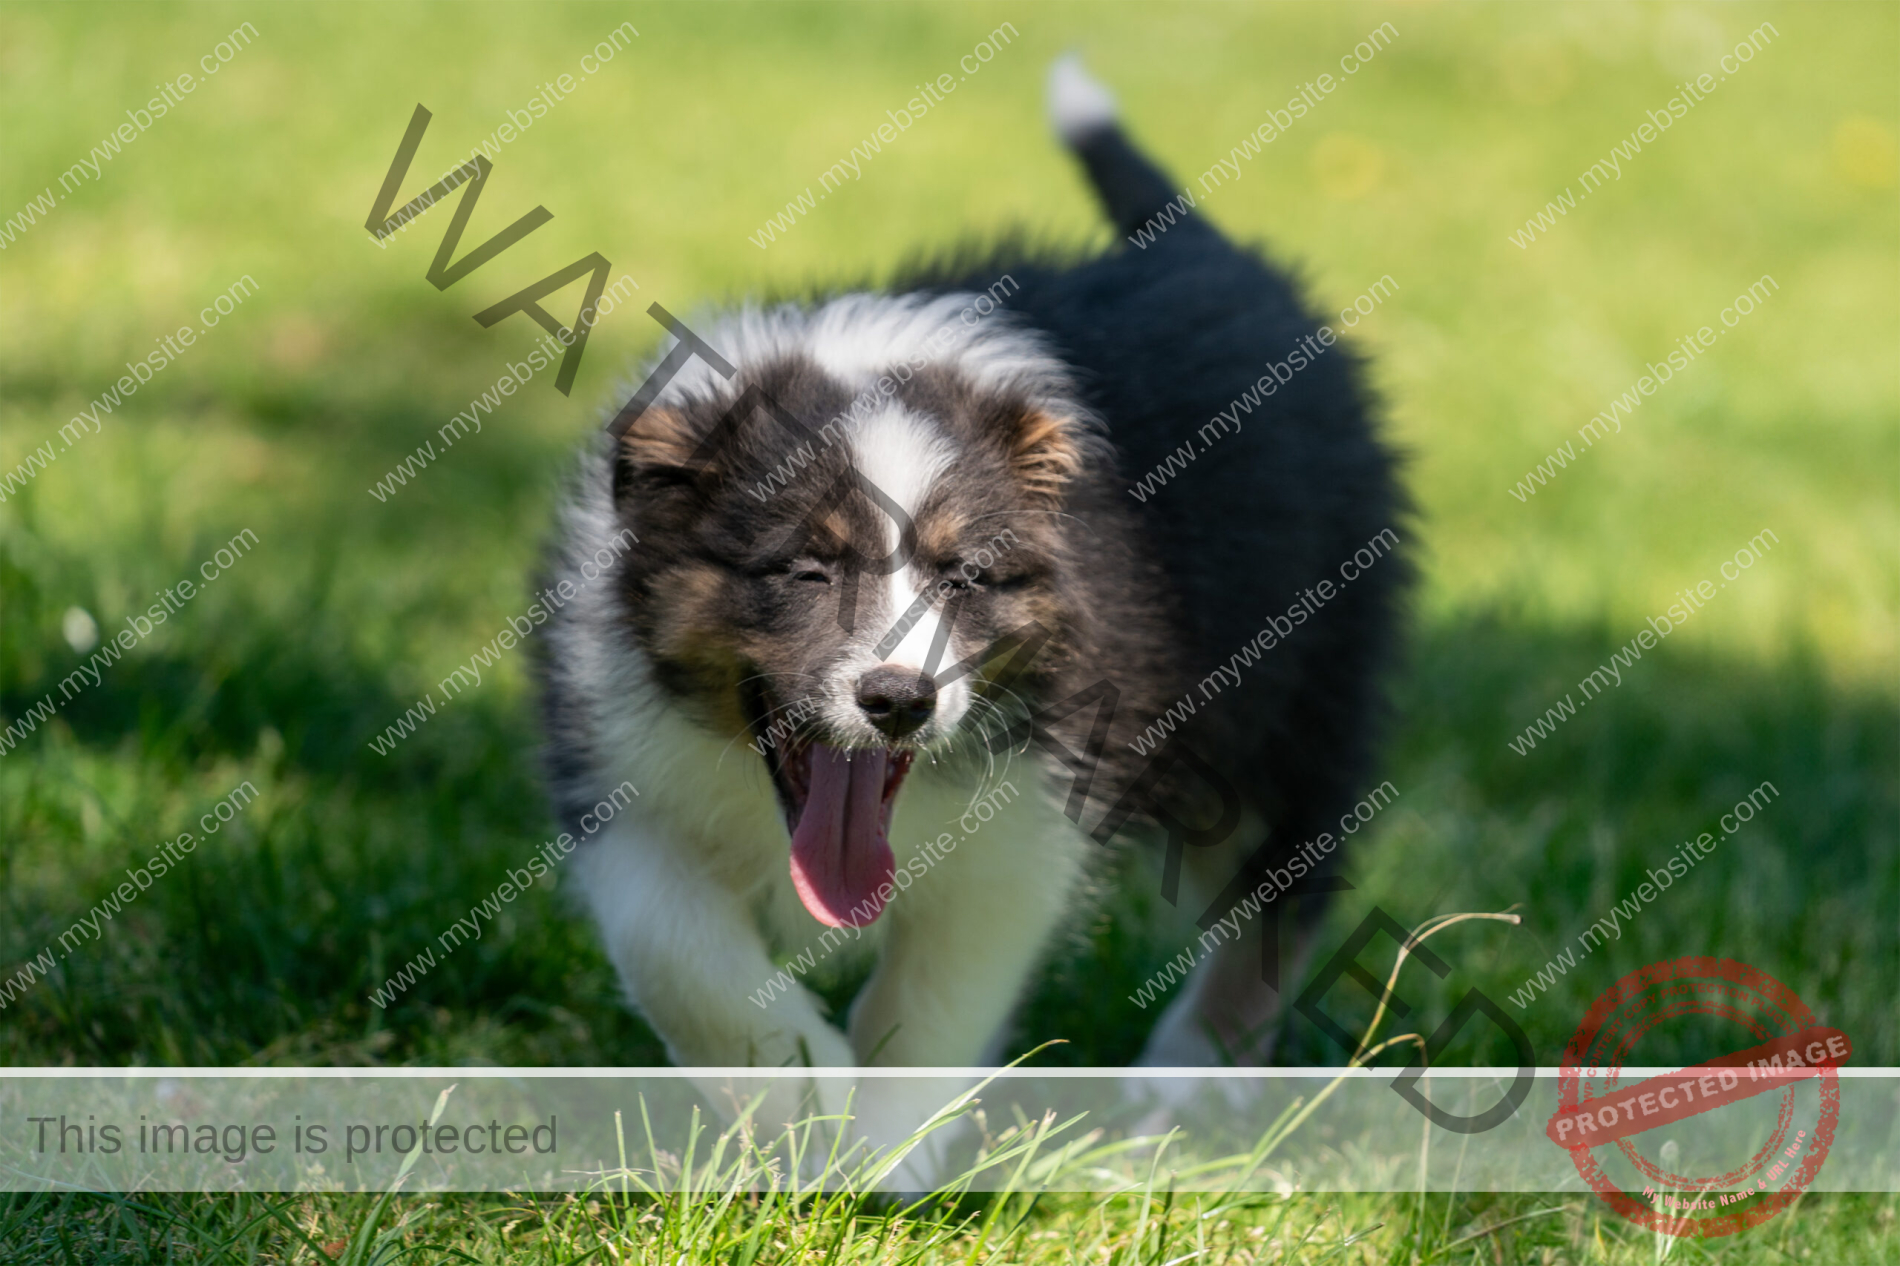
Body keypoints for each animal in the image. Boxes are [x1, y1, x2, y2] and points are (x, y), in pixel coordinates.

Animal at [543, 56, 1406, 1064]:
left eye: (963, 578)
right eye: (807, 570)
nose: (899, 701)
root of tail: (1210, 253)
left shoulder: (1031, 823)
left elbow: (930, 1015)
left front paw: (870, 1109)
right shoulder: (614, 771)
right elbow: (675, 951)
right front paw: (798, 1077)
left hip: (1299, 696)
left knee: (1284, 888)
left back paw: (1186, 1078)